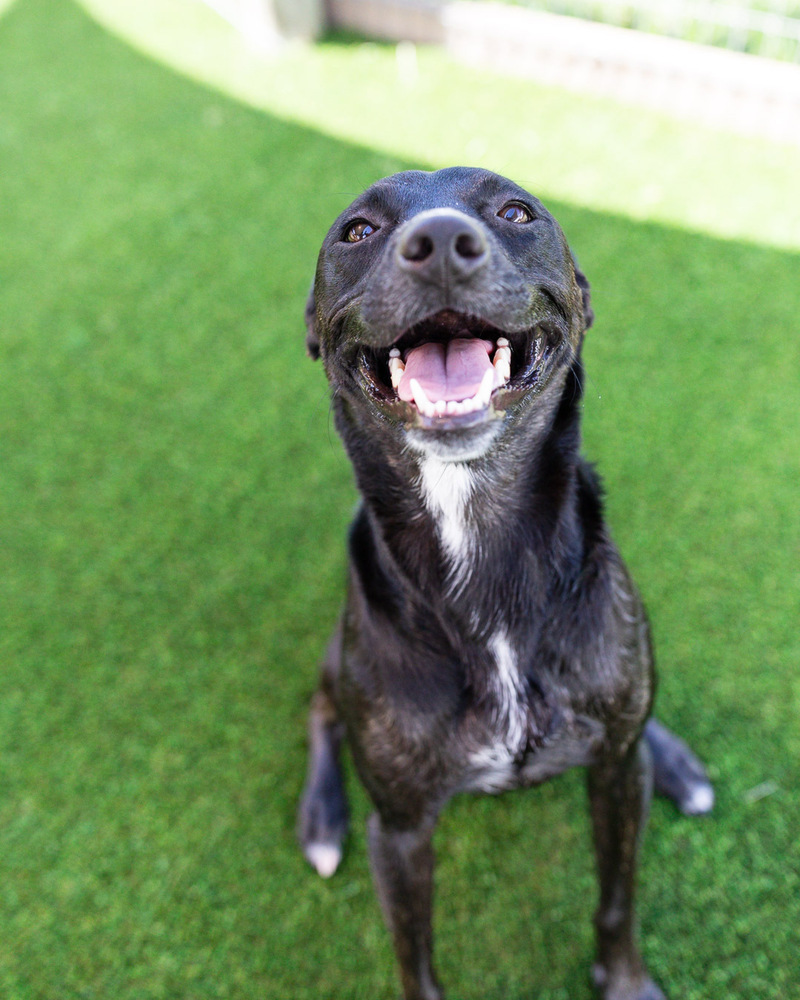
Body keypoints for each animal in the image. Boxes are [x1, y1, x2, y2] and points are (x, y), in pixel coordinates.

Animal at [298, 170, 712, 1000]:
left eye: (516, 212)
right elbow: (417, 963)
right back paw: (321, 819)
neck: (480, 541)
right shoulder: (400, 831)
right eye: (357, 230)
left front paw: (623, 981)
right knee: (321, 708)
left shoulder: (616, 778)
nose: (440, 244)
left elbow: (618, 897)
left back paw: (679, 764)